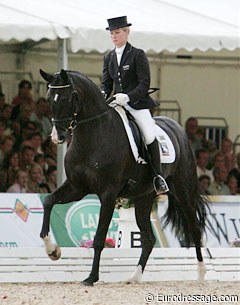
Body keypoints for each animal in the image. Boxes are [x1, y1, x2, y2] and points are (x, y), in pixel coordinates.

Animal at [39, 68, 208, 284]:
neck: (92, 136)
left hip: (183, 191)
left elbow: (99, 238)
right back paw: (134, 277)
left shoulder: (108, 194)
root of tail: (177, 127)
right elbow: (49, 201)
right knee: (148, 239)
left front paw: (91, 277)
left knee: (194, 228)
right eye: (48, 99)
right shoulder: (77, 188)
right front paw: (53, 251)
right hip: (144, 198)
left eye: (67, 98)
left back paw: (201, 274)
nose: (57, 137)